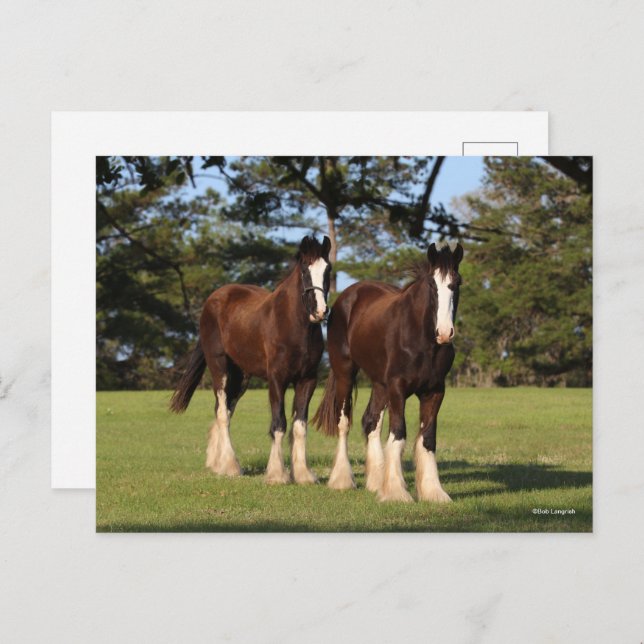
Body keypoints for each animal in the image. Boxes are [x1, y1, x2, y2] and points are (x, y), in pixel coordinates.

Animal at [170, 235, 332, 485]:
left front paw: (303, 474)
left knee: (224, 409)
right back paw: (230, 466)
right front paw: (277, 474)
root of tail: (213, 300)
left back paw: (217, 463)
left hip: (241, 377)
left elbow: (299, 426)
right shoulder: (277, 380)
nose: (320, 312)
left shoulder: (308, 380)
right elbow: (279, 423)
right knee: (222, 412)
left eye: (328, 269)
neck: (293, 326)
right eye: (305, 269)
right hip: (220, 368)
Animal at [313, 242, 463, 502]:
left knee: (370, 421)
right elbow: (398, 433)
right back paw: (342, 480)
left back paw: (375, 481)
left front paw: (433, 492)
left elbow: (428, 439)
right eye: (432, 284)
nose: (444, 333)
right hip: (345, 373)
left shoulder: (435, 391)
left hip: (379, 384)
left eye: (457, 283)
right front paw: (395, 492)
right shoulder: (397, 388)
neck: (421, 339)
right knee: (344, 422)